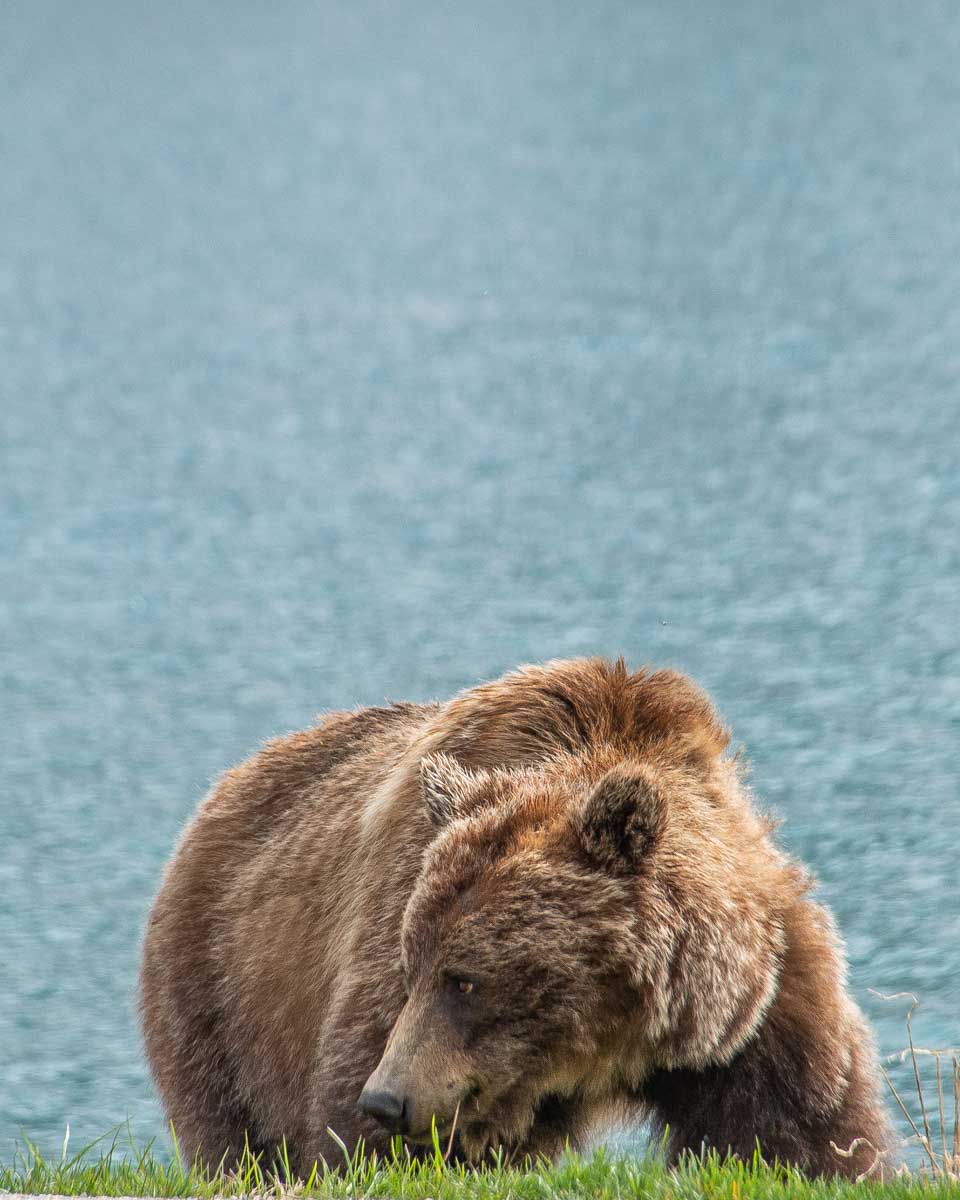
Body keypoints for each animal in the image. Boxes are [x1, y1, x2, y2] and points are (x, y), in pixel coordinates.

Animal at [140, 657, 891, 1179]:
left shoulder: (752, 1007)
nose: (386, 1100)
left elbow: (799, 1130)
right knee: (235, 1133)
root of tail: (222, 789)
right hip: (218, 997)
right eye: (414, 971)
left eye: (465, 979)